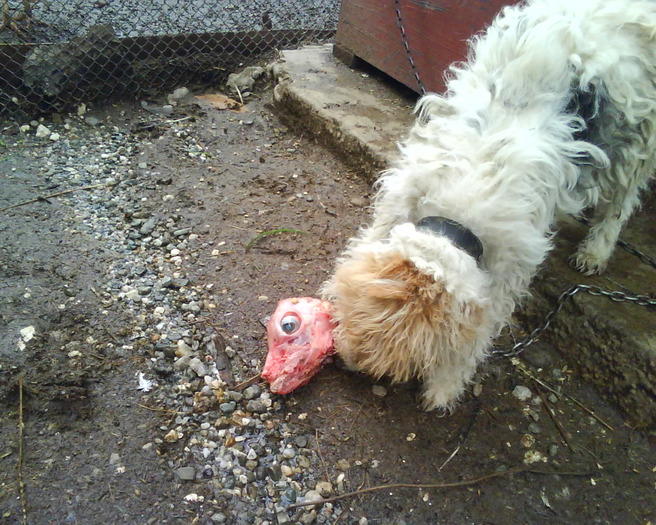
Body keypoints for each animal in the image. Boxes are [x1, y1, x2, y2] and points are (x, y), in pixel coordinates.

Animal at [322, 0, 656, 410]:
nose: (347, 360)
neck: (461, 206)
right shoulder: (400, 198)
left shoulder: (509, 266)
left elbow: (477, 337)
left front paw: (444, 388)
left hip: (636, 141)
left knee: (621, 202)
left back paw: (595, 250)